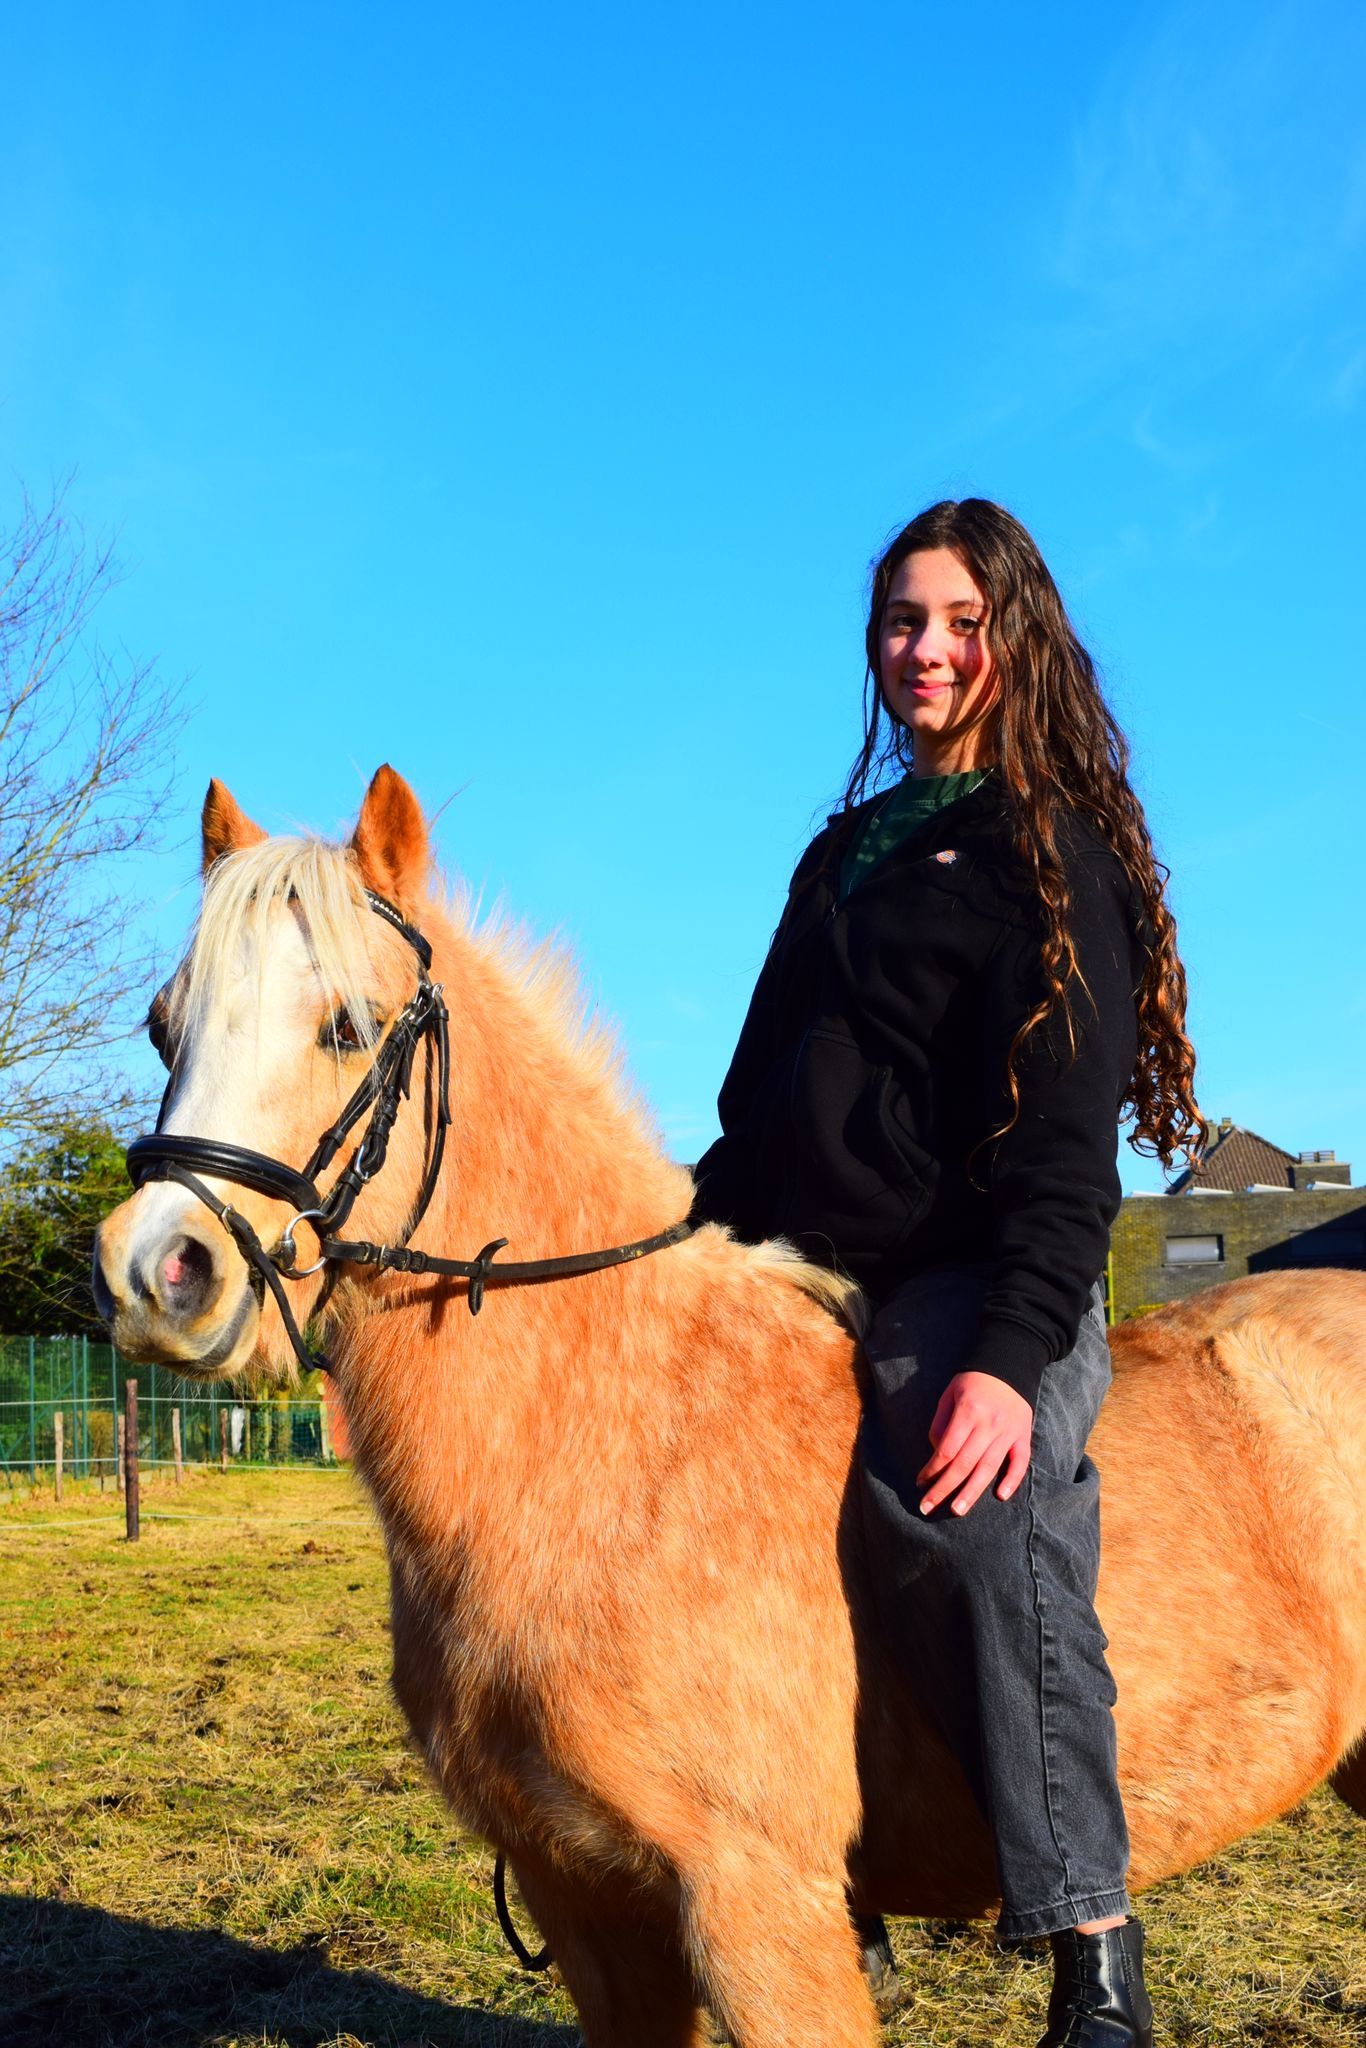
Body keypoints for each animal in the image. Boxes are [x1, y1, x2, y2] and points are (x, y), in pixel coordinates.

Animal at [95, 765, 1366, 2048]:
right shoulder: (589, 1905)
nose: (158, 1272)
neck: (613, 1450)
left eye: (348, 1024)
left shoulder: (758, 1908)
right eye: (162, 1025)